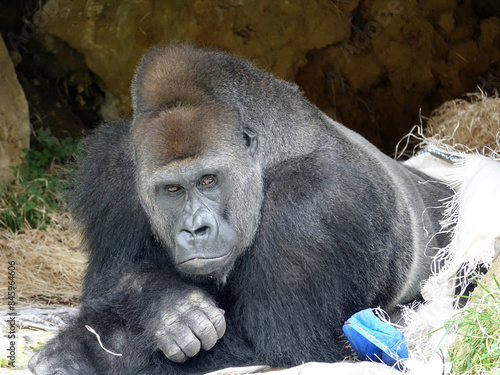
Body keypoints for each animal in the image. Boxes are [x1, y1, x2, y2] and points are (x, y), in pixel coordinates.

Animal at [29, 42, 452, 374]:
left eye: (209, 180)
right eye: (172, 189)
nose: (195, 229)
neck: (266, 155)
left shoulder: (313, 203)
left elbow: (282, 349)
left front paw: (82, 356)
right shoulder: (112, 171)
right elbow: (104, 288)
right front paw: (166, 305)